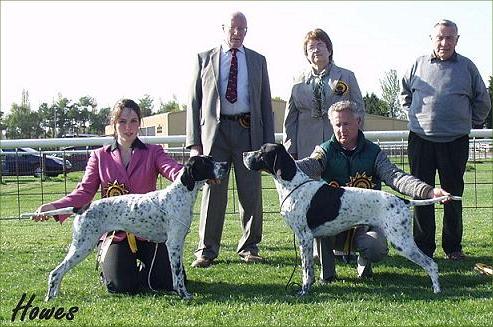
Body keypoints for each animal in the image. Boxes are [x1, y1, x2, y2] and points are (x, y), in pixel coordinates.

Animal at [244, 145, 460, 296]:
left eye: (262, 151)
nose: (244, 154)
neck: (293, 185)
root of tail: (403, 200)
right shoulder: (308, 238)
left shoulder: (304, 237)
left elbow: (306, 270)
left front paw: (304, 291)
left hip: (401, 241)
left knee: (431, 264)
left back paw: (437, 290)